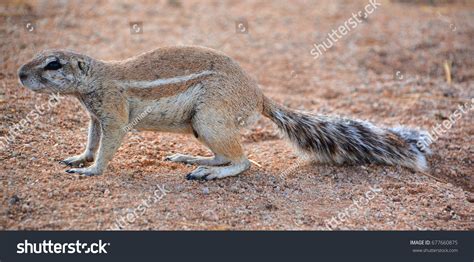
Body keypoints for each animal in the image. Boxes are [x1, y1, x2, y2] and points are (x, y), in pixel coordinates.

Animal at [16, 46, 432, 179]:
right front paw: (78, 158)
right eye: (42, 56)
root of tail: (259, 96)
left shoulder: (114, 115)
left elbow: (107, 147)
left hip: (210, 118)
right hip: (202, 126)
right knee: (224, 155)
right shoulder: (95, 116)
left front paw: (91, 172)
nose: (19, 74)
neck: (98, 78)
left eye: (53, 64)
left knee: (242, 161)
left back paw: (209, 173)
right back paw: (193, 159)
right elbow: (91, 141)